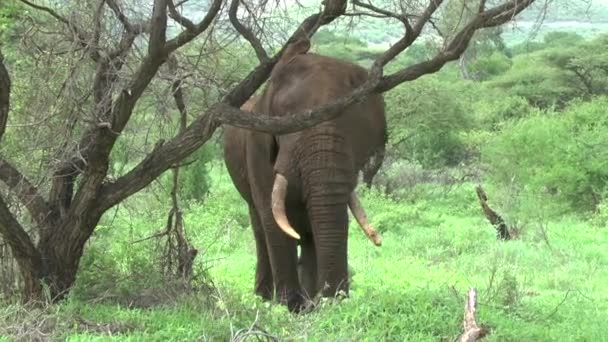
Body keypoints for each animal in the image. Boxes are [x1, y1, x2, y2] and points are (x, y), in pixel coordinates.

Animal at [222, 38, 384, 312]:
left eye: (355, 125)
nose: (335, 300)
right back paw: (264, 298)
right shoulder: (258, 145)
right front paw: (290, 307)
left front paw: (318, 306)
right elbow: (271, 216)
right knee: (259, 226)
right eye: (289, 119)